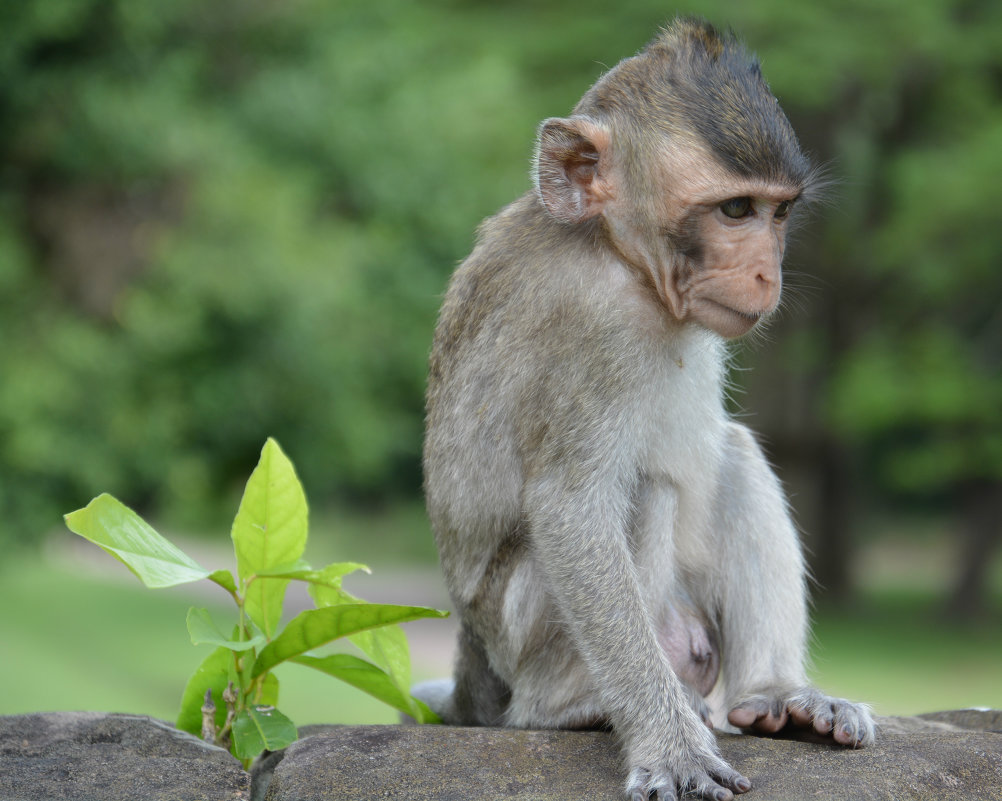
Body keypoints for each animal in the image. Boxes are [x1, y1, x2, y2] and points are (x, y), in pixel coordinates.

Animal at [418, 18, 873, 801]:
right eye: (734, 210)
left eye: (779, 211)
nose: (768, 272)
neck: (619, 255)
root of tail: (472, 668)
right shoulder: (591, 327)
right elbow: (572, 506)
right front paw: (668, 743)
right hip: (522, 634)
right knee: (646, 490)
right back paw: (572, 706)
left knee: (732, 451)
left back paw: (776, 694)